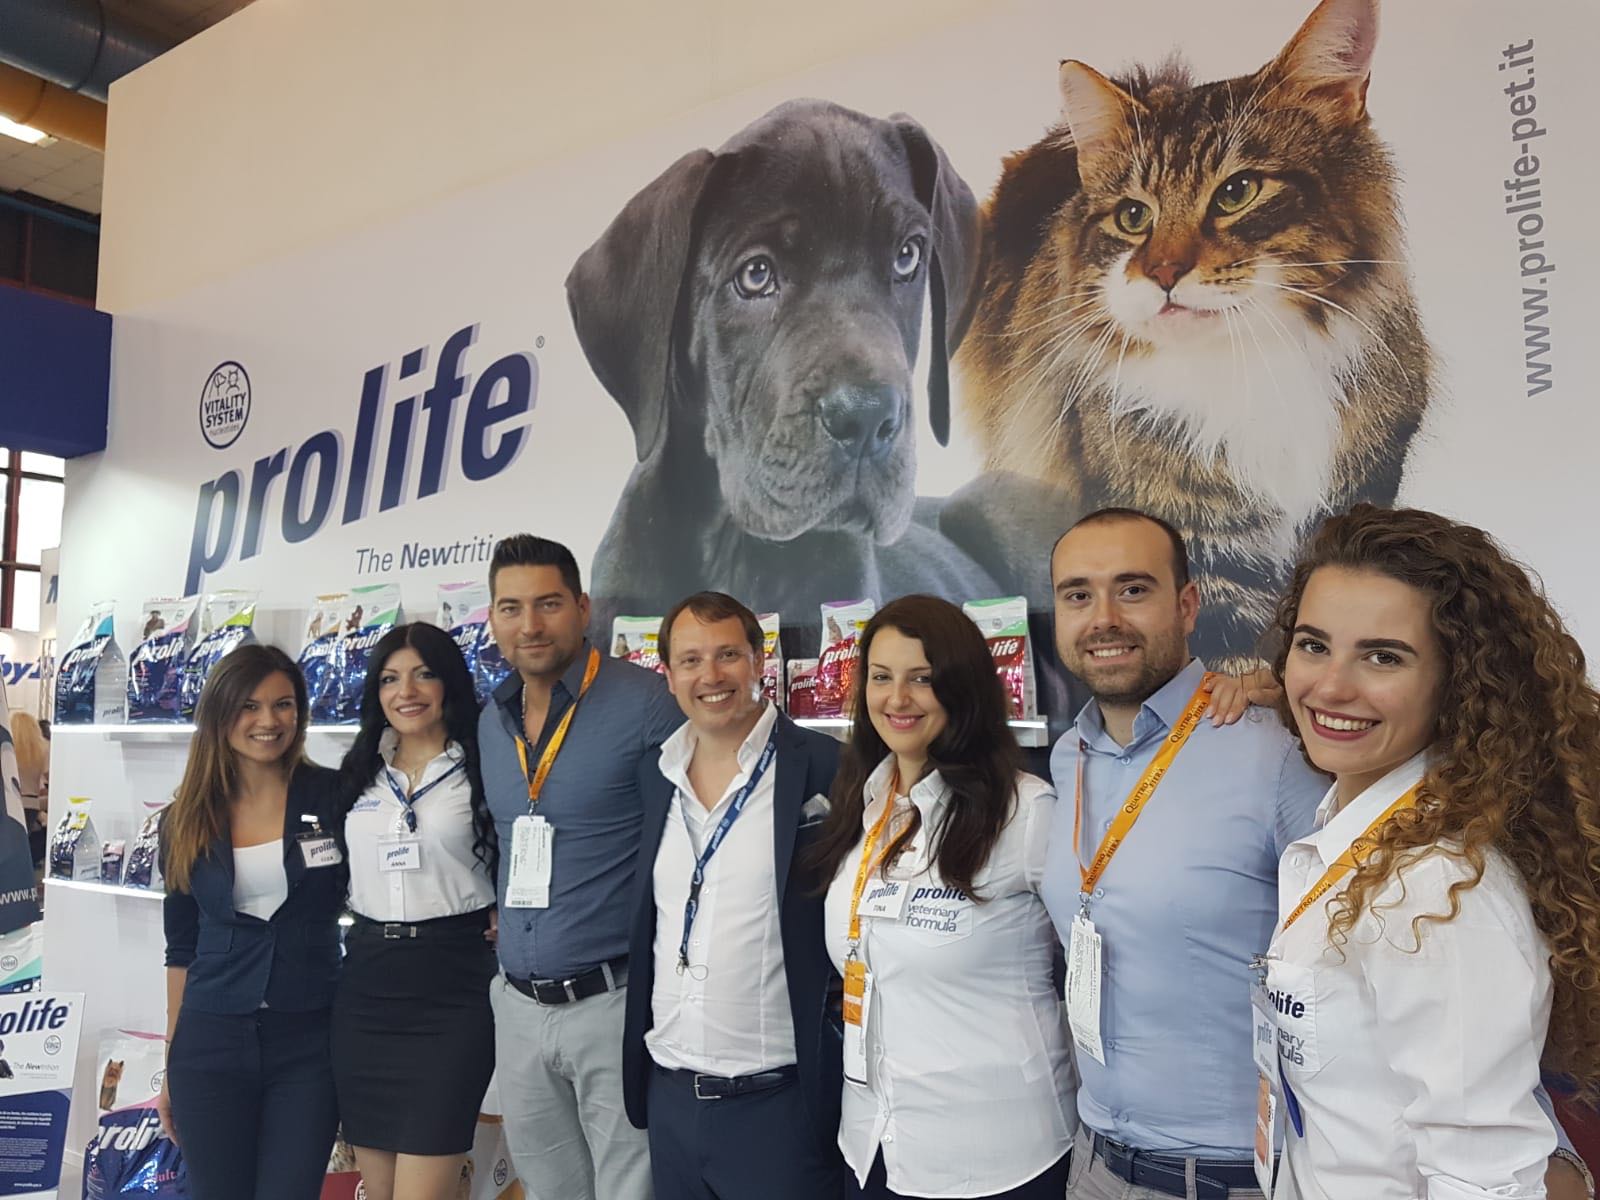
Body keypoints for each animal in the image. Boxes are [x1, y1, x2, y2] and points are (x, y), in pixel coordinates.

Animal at [955, 0, 1431, 661]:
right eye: (1134, 216)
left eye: (1237, 191)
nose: (1161, 273)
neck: (1252, 369)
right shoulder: (1199, 550)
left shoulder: (1359, 490)